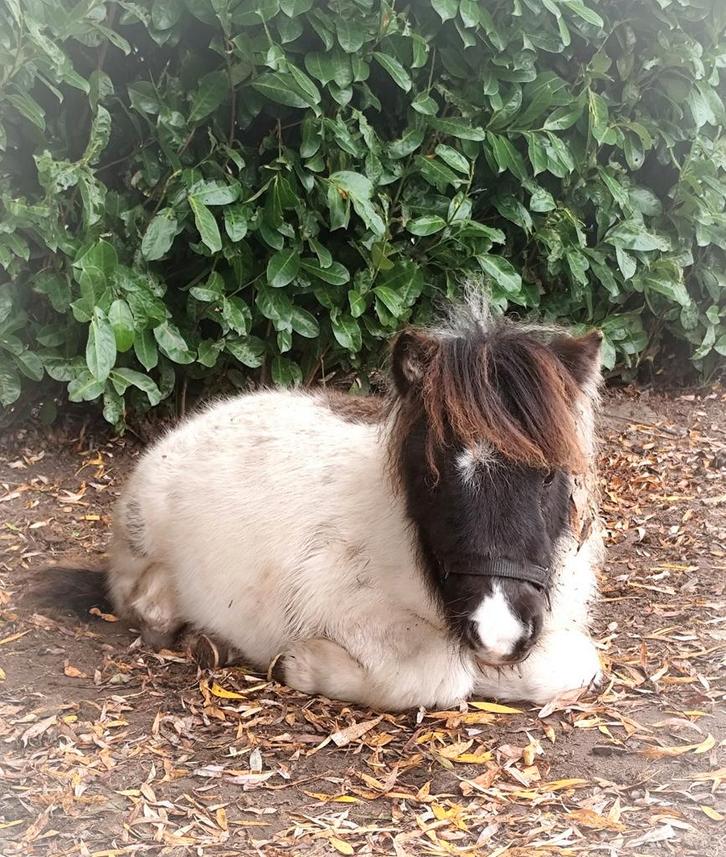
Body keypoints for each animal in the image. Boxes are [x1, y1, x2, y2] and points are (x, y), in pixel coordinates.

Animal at [101, 303, 605, 711]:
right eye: (433, 475)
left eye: (549, 474)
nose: (498, 633)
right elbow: (441, 674)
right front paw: (300, 664)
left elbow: (575, 663)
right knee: (146, 605)